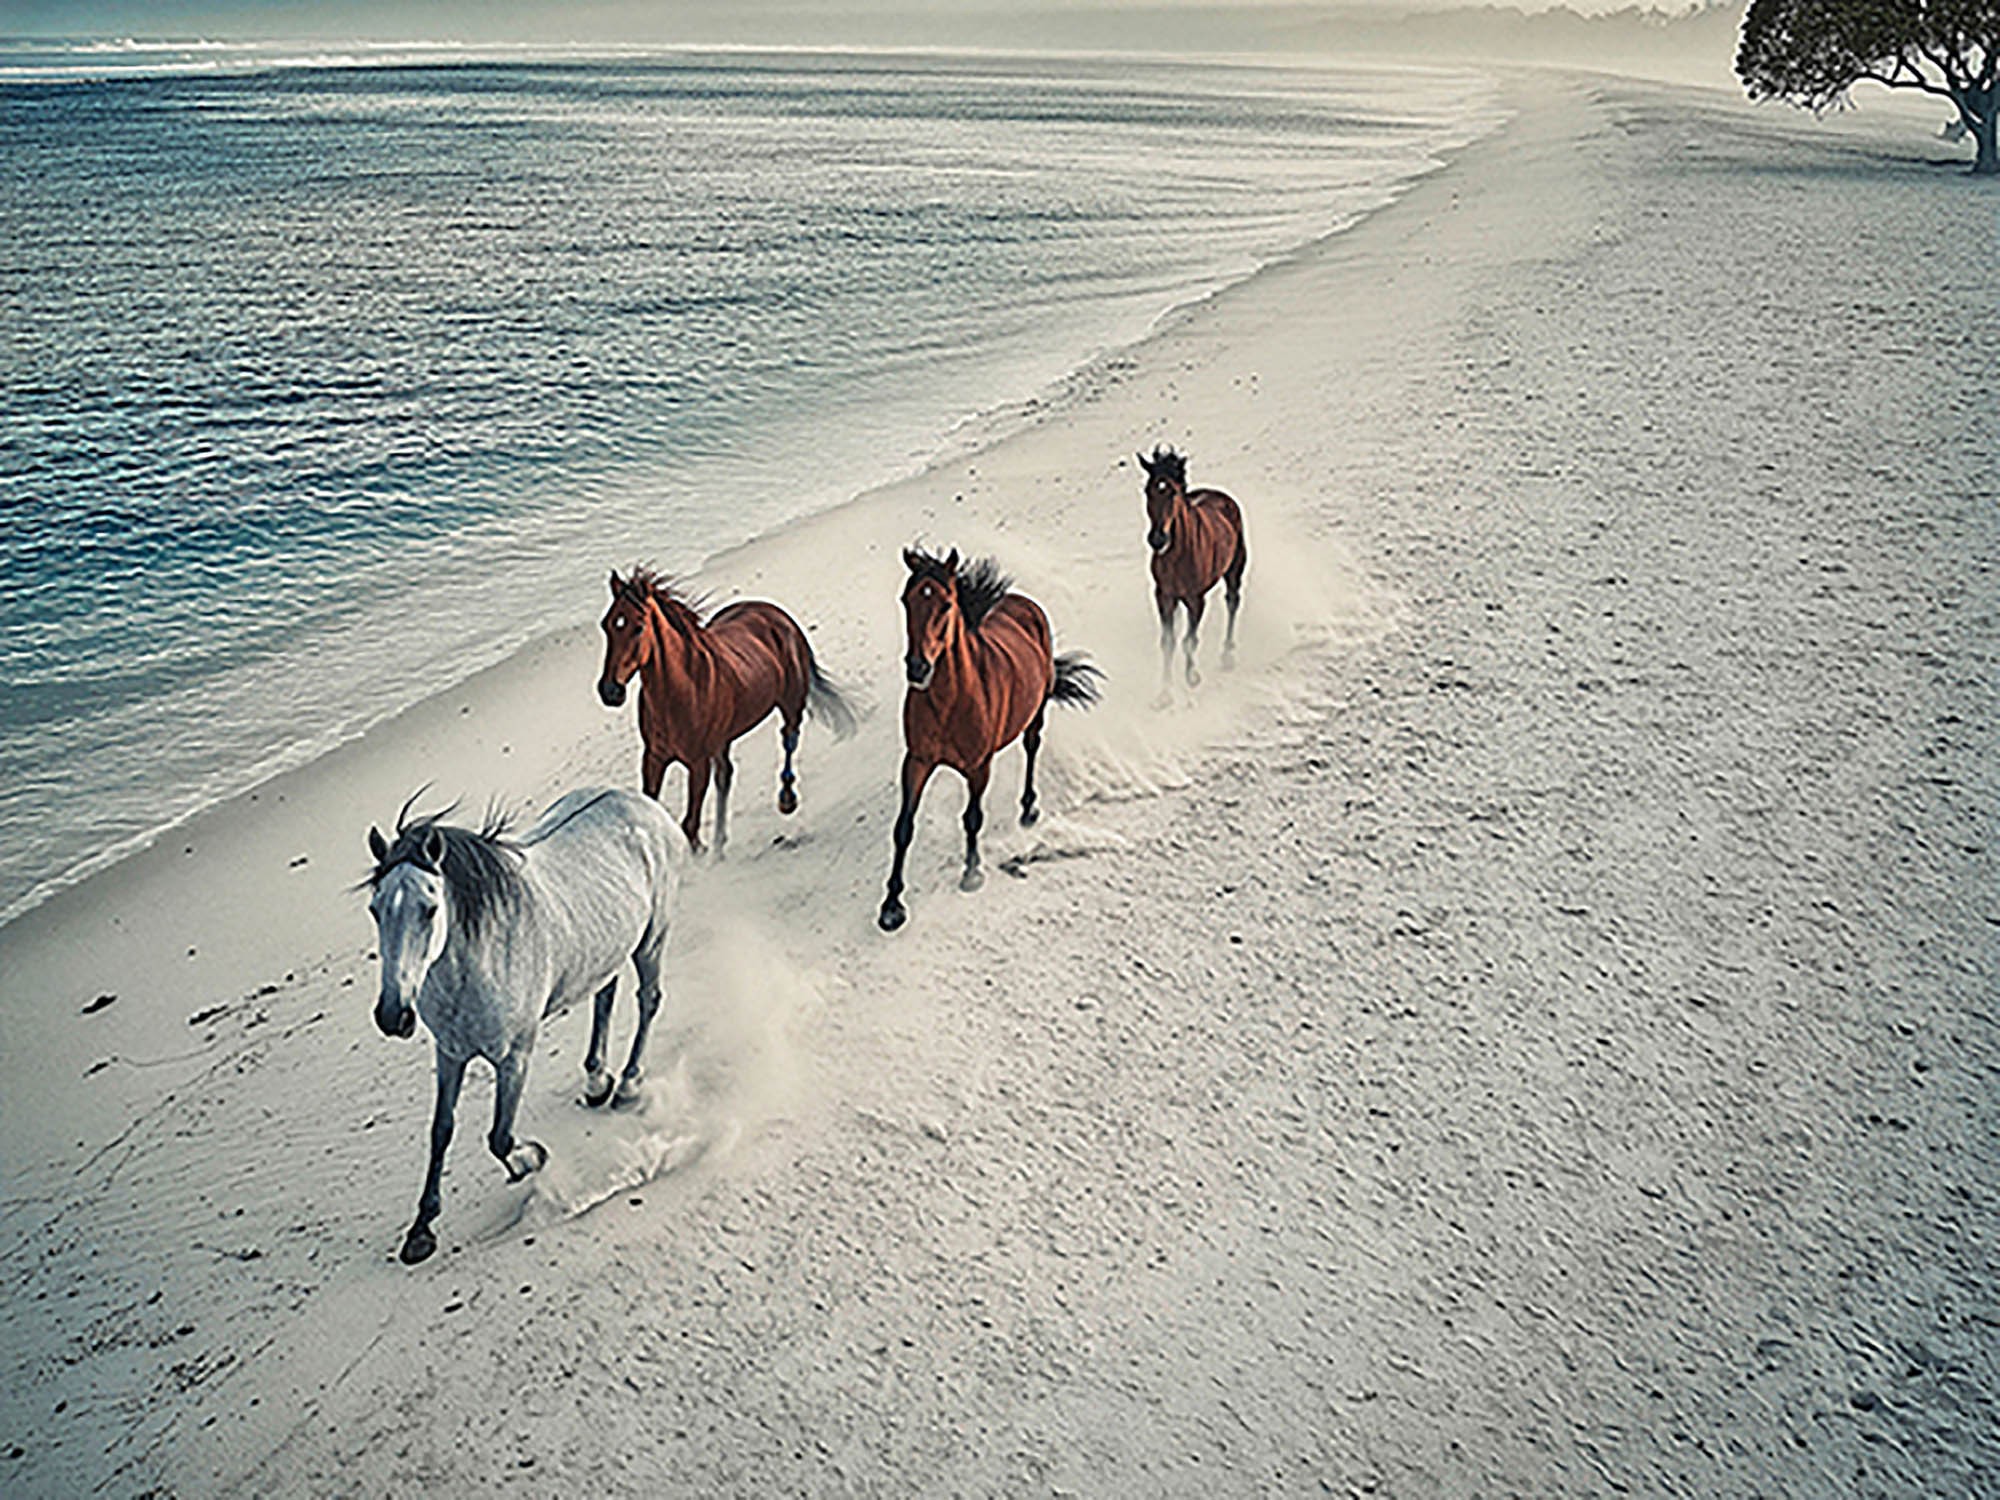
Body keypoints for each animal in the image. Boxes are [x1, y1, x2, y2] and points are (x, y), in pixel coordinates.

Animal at [363, 786, 686, 1264]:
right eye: (375, 909)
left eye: (429, 908)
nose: (393, 1015)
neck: (477, 962)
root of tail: (643, 802)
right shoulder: (450, 1054)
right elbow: (441, 1131)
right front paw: (421, 1230)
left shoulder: (514, 1057)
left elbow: (499, 1136)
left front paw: (530, 1159)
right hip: (606, 944)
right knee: (605, 995)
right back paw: (596, 1082)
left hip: (651, 939)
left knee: (647, 1001)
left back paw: (627, 1084)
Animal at [598, 568, 857, 855]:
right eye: (607, 625)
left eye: (638, 627)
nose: (610, 691)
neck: (680, 691)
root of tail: (779, 616)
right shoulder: (654, 757)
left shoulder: (698, 762)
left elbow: (690, 825)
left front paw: (698, 852)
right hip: (722, 740)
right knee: (726, 774)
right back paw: (720, 843)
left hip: (790, 705)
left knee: (789, 740)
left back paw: (786, 800)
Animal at [879, 547, 1101, 931]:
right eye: (907, 600)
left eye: (946, 604)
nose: (917, 668)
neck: (950, 699)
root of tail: (1023, 602)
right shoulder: (917, 761)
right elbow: (903, 827)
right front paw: (892, 906)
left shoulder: (978, 766)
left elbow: (972, 818)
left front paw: (972, 874)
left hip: (1036, 713)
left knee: (1031, 748)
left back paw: (1028, 809)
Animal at [1138, 445, 1247, 694]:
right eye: (1148, 491)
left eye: (1174, 493)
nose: (1157, 539)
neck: (1178, 556)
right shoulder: (1164, 595)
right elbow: (1168, 642)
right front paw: (1165, 691)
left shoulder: (1196, 598)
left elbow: (1189, 640)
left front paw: (1192, 676)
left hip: (1234, 570)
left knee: (1232, 602)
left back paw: (1227, 656)